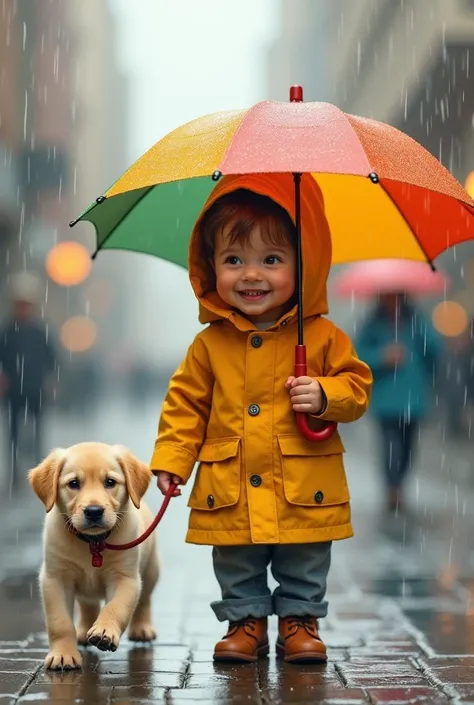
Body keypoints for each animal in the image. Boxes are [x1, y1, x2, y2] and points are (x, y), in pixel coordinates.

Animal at [29, 442, 159, 668]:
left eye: (110, 482)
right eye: (73, 483)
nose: (94, 511)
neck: (93, 542)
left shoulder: (126, 577)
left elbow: (116, 607)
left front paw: (104, 631)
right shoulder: (55, 578)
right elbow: (59, 622)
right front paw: (63, 654)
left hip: (152, 569)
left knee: (144, 600)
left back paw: (141, 629)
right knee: (88, 604)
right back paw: (83, 631)